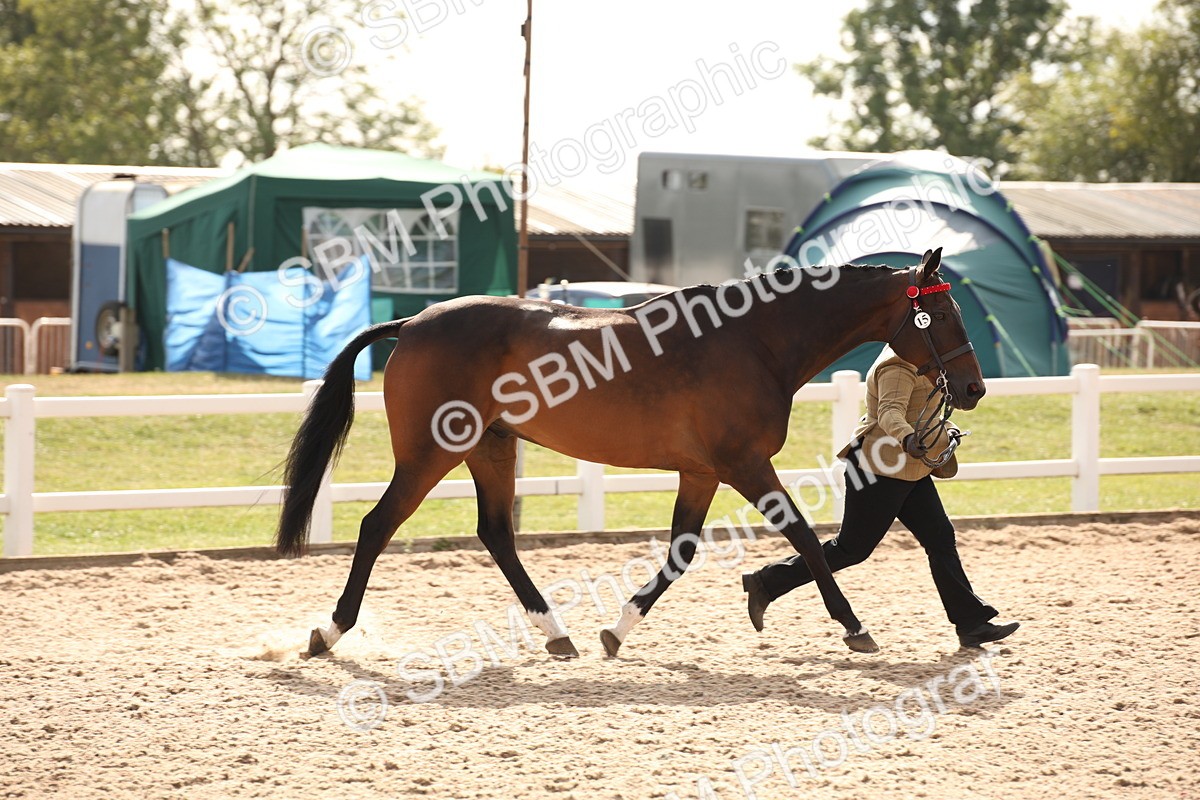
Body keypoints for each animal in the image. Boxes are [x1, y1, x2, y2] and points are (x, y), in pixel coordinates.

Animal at [276, 247, 985, 659]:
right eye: (946, 314)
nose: (975, 388)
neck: (754, 342)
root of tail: (412, 323)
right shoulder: (744, 465)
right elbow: (808, 538)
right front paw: (855, 627)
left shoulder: (702, 472)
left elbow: (681, 551)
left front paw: (617, 630)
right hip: (431, 453)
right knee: (378, 525)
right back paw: (327, 633)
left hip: (491, 449)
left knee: (496, 533)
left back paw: (558, 635)